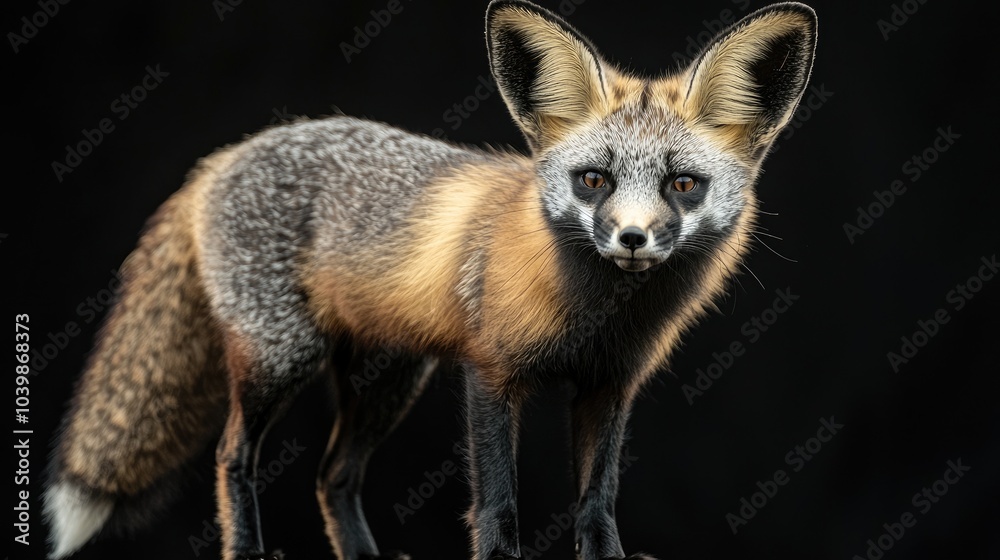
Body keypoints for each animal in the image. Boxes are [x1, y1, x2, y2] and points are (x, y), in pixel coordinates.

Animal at [43, 1, 817, 559]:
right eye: (594, 180)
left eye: (682, 185)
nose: (631, 238)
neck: (597, 315)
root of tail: (222, 158)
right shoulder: (490, 372)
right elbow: (498, 500)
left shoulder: (609, 385)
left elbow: (597, 502)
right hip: (283, 356)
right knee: (234, 456)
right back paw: (246, 548)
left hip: (389, 380)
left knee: (333, 476)